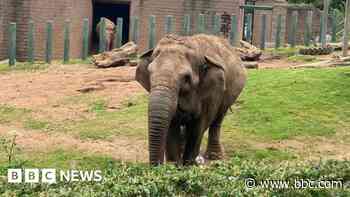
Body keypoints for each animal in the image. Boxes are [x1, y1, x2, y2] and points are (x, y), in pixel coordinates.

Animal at [135, 34, 247, 166]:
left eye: (186, 78)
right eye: (149, 73)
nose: (158, 165)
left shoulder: (210, 90)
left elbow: (198, 126)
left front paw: (188, 165)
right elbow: (172, 124)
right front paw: (174, 165)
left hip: (228, 95)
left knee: (217, 120)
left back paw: (214, 157)